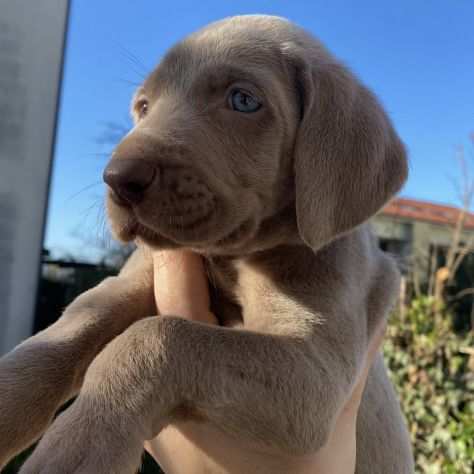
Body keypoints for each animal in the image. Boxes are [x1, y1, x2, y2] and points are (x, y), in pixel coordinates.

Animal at [0, 14, 412, 474]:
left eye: (243, 101)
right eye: (144, 107)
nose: (118, 178)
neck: (229, 260)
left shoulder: (317, 374)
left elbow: (162, 335)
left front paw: (78, 448)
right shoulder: (130, 279)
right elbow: (67, 332)